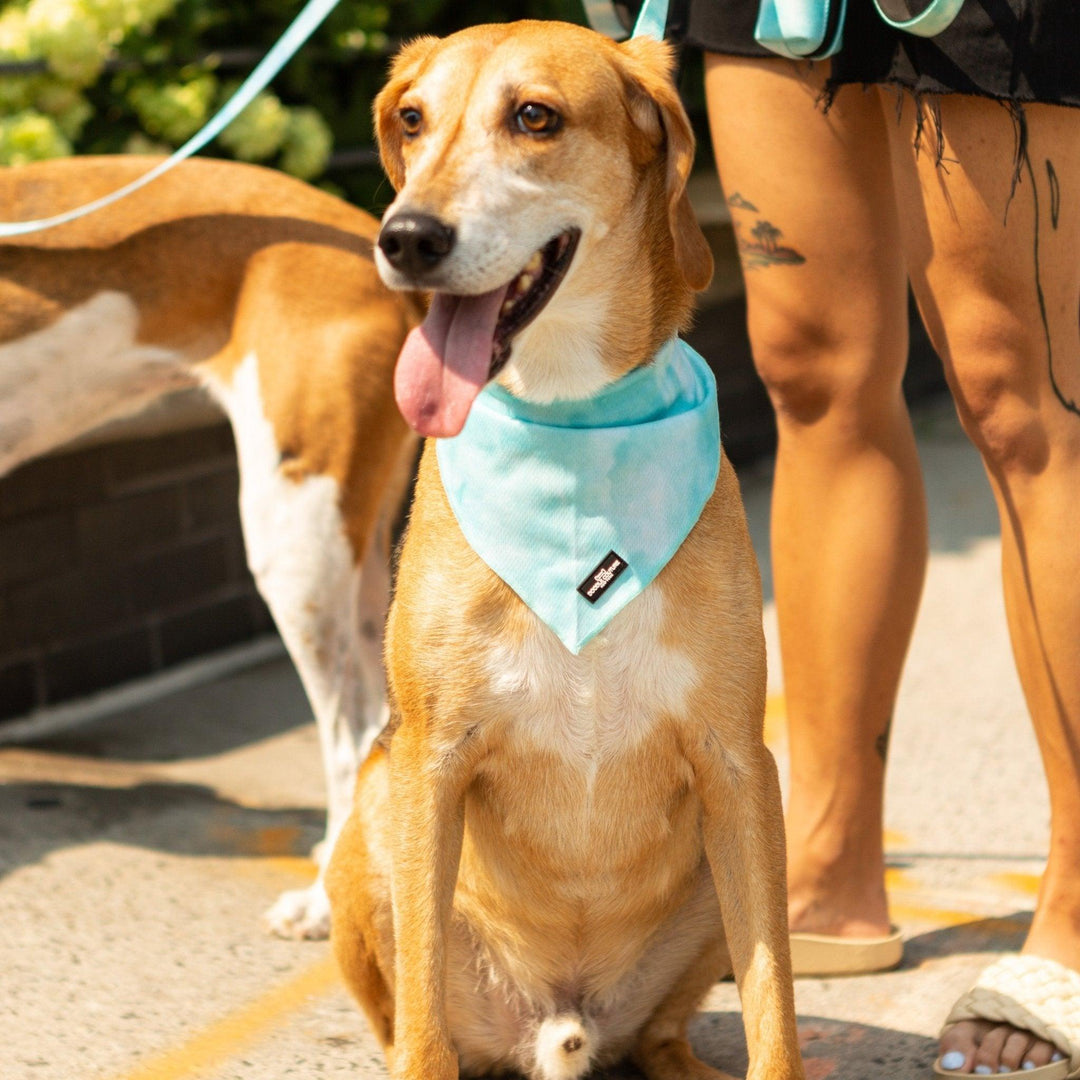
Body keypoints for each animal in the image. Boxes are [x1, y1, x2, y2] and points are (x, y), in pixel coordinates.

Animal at [326, 16, 803, 1080]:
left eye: (535, 117)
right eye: (412, 118)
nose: (406, 237)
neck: (571, 430)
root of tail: (560, 1026)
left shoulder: (738, 767)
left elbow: (775, 1007)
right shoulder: (430, 765)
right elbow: (421, 1024)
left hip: (723, 865)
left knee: (666, 1031)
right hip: (371, 818)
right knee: (411, 1021)